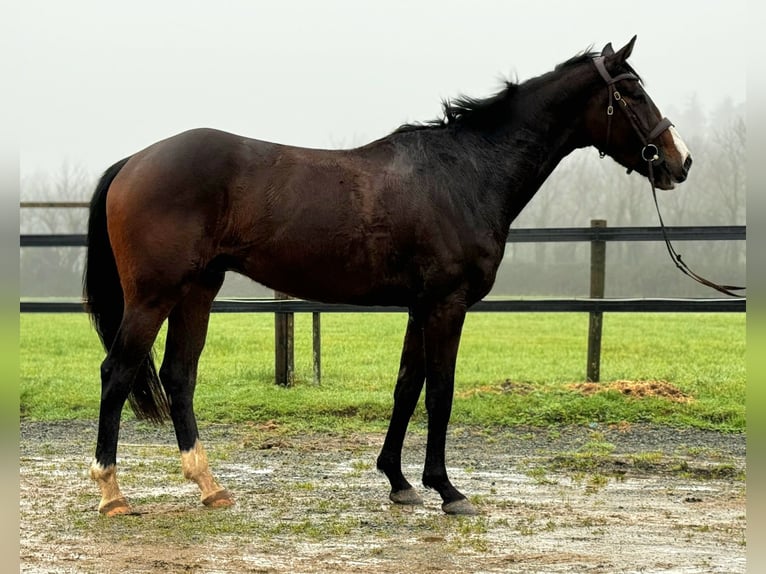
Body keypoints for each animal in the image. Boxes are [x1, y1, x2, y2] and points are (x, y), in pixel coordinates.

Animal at [83, 36, 692, 516]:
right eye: (631, 92)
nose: (679, 161)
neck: (465, 173)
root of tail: (134, 161)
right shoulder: (447, 305)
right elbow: (440, 391)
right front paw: (448, 490)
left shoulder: (420, 307)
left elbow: (406, 387)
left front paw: (400, 482)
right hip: (154, 295)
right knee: (117, 371)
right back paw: (113, 495)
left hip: (198, 290)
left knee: (179, 376)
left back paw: (209, 487)